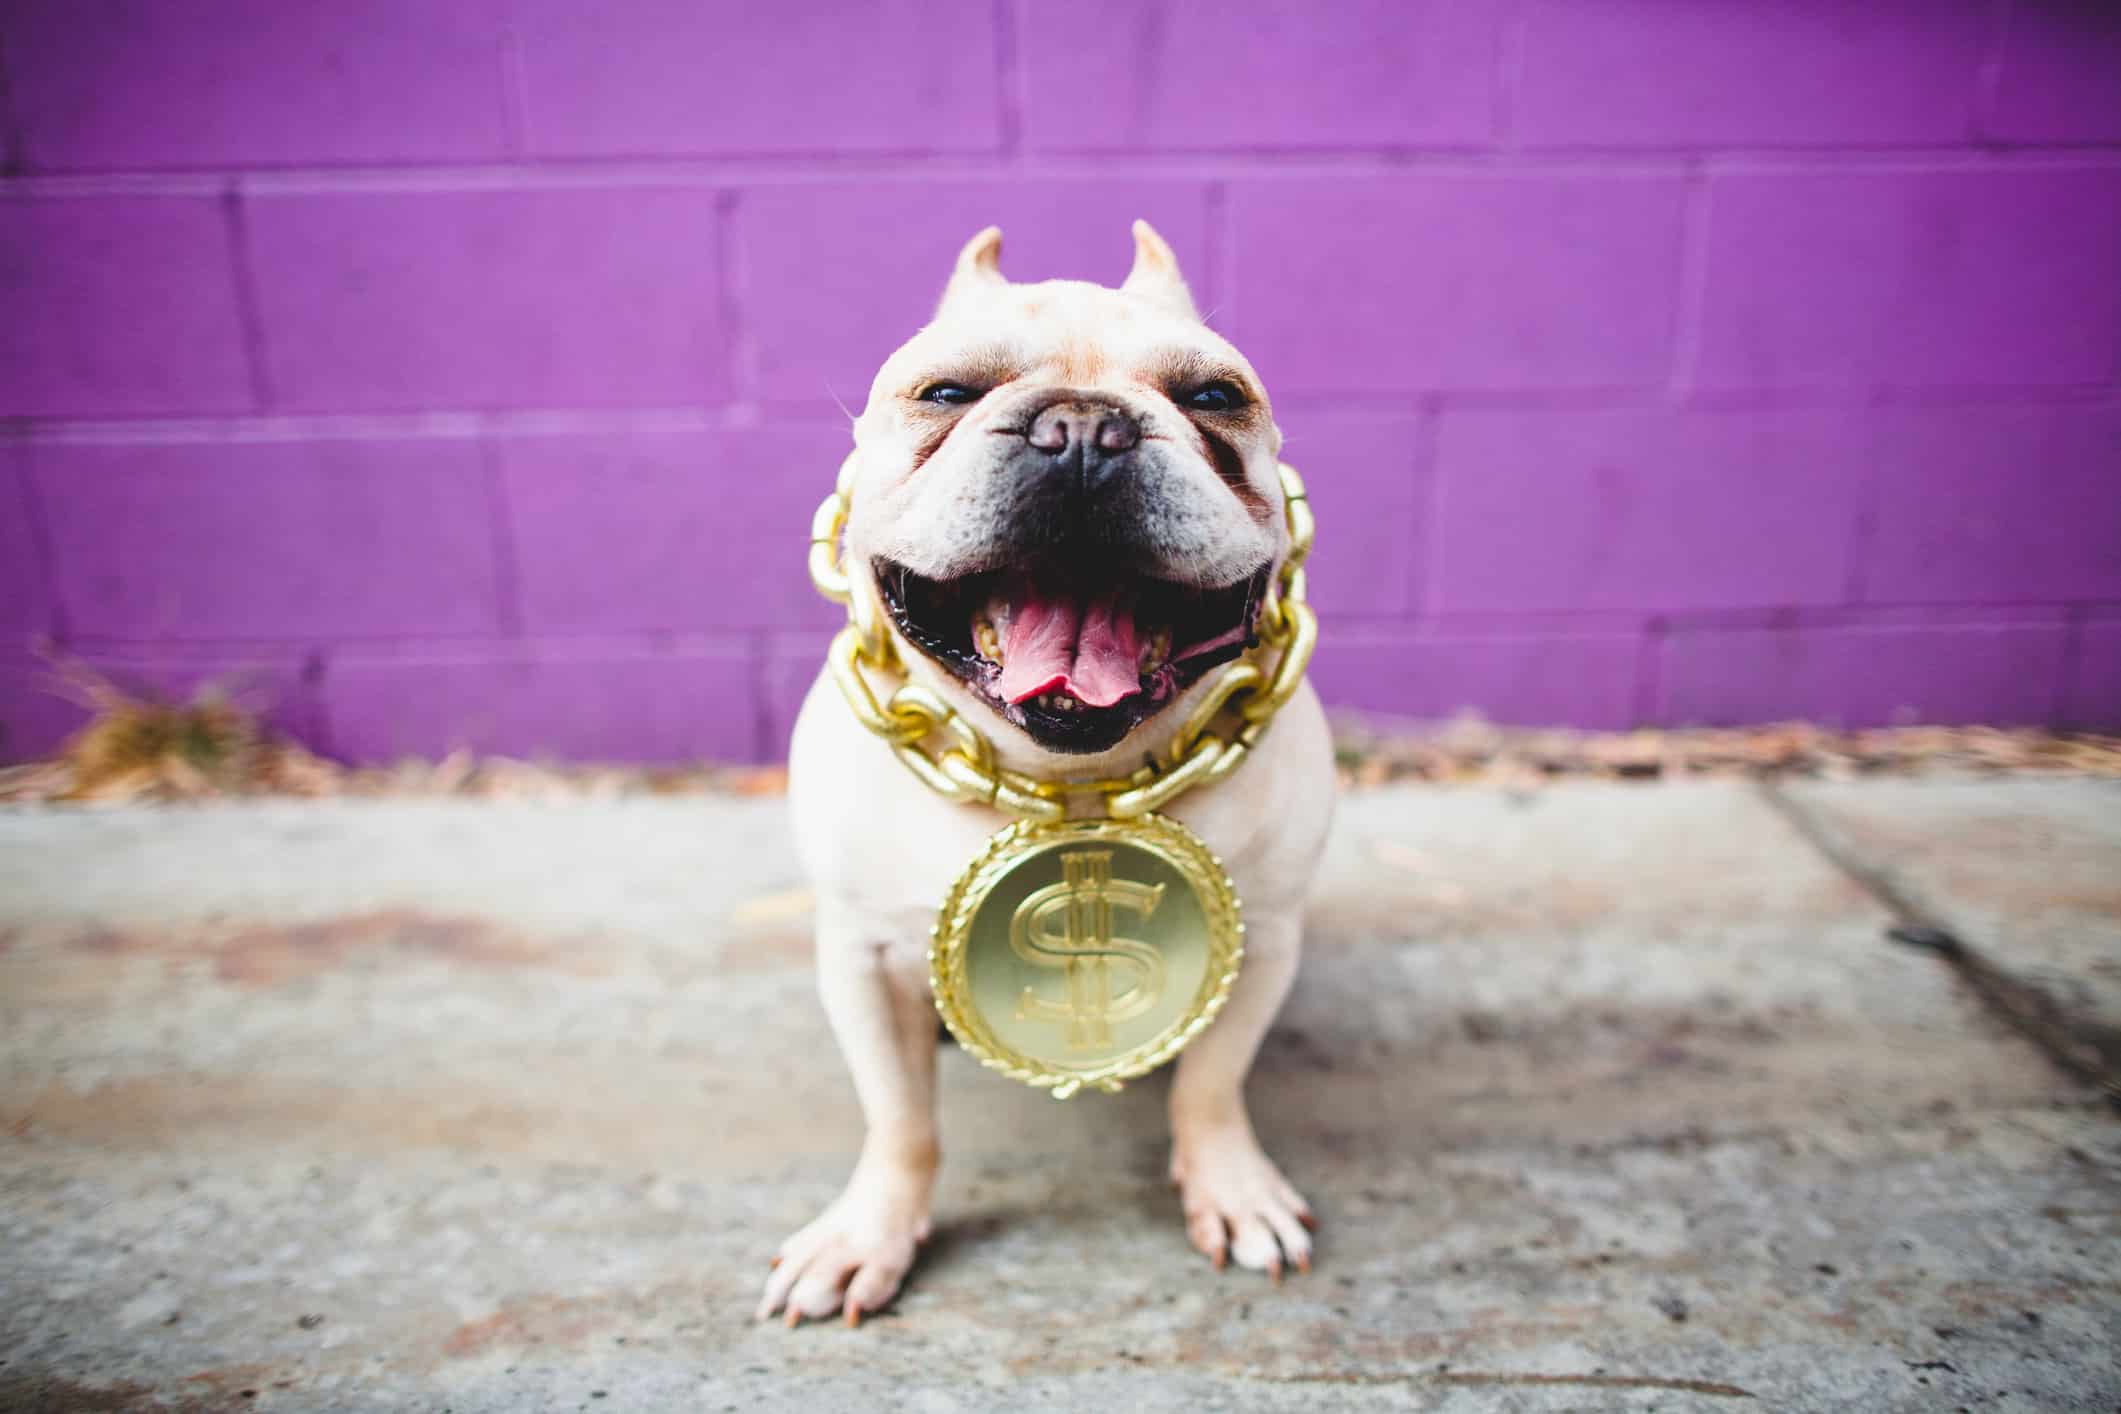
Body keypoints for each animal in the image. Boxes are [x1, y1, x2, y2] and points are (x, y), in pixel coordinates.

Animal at [763, 221, 1323, 1331]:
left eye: (1215, 397)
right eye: (942, 393)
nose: (1082, 428)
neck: (1066, 773)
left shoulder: (1263, 941)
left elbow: (1212, 1083)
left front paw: (1230, 1187)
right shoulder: (860, 955)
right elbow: (899, 1119)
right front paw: (868, 1235)